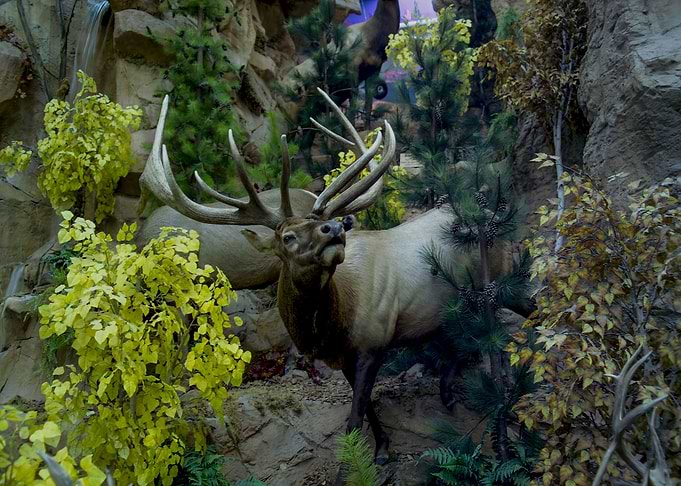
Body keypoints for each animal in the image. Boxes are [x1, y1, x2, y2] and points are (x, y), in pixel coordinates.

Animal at [142, 88, 514, 471]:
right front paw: (383, 448)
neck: (332, 326)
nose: (334, 227)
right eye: (287, 237)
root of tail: (489, 214)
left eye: (321, 223)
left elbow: (354, 419)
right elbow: (367, 407)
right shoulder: (345, 357)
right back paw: (448, 391)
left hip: (499, 282)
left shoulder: (373, 342)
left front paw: (360, 463)